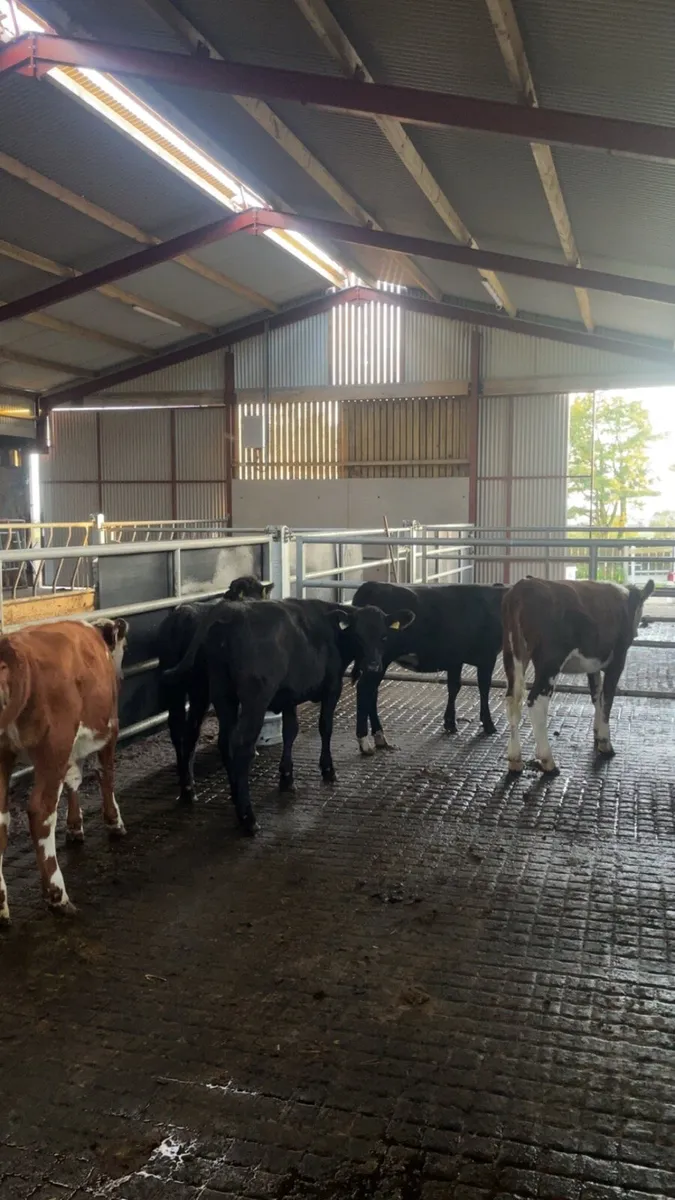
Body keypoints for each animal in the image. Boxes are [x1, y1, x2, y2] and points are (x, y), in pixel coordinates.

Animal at [0, 617, 128, 924]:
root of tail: (12, 645)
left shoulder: (71, 750)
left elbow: (73, 780)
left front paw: (74, 826)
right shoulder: (110, 728)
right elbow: (105, 773)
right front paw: (114, 821)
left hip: (5, 754)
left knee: (0, 820)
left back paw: (0, 906)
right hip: (52, 747)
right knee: (41, 812)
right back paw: (57, 894)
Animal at [157, 575, 273, 802]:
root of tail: (182, 618)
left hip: (173, 687)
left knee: (176, 728)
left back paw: (183, 780)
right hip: (199, 689)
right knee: (192, 730)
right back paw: (190, 790)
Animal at [164, 597, 414, 834]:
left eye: (384, 636)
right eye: (359, 635)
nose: (373, 666)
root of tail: (232, 610)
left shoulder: (289, 695)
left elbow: (290, 732)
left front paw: (286, 777)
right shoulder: (333, 687)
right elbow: (325, 727)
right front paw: (328, 769)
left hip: (221, 693)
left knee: (216, 740)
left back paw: (216, 797)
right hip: (254, 698)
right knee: (241, 745)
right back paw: (248, 818)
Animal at [351, 580, 505, 754]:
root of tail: (371, 585)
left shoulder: (455, 659)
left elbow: (454, 686)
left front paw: (450, 723)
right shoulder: (487, 657)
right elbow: (484, 688)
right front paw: (489, 725)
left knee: (372, 692)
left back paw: (380, 738)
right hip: (378, 659)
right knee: (365, 689)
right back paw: (365, 742)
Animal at [502, 577, 654, 775]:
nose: (636, 632)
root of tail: (522, 587)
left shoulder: (593, 665)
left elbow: (597, 697)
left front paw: (597, 734)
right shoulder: (618, 659)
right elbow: (607, 699)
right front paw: (605, 743)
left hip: (511, 656)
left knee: (512, 701)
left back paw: (515, 759)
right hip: (549, 661)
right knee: (536, 702)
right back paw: (548, 761)